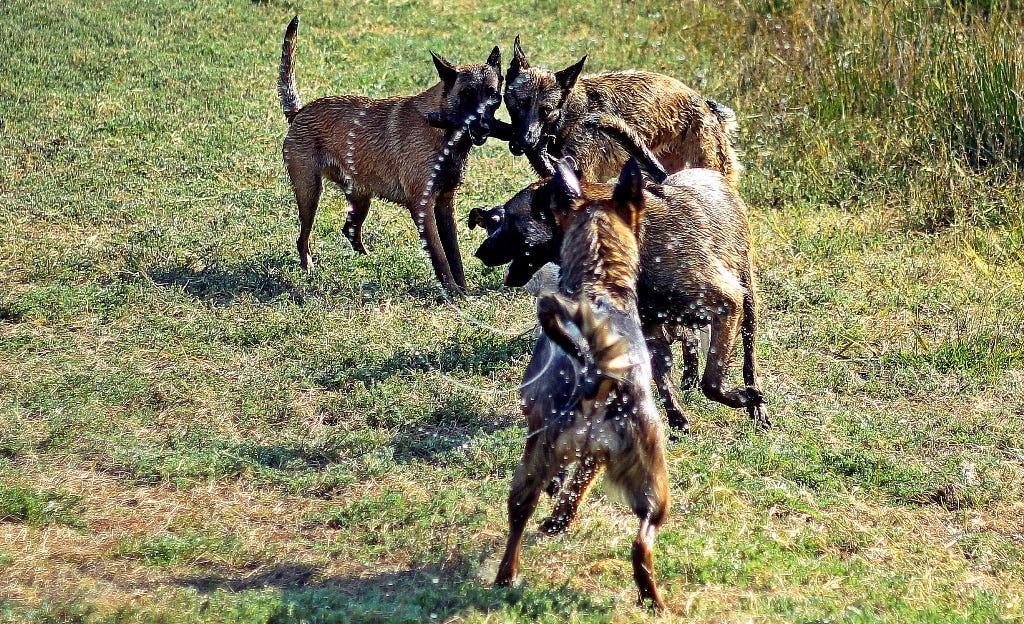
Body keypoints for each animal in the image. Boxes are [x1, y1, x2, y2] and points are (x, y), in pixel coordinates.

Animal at [280, 16, 503, 295]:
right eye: (467, 95)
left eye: (494, 95)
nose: (484, 128)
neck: (441, 129)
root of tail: (298, 112)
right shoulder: (422, 207)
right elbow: (440, 257)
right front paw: (451, 292)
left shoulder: (445, 205)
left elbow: (455, 255)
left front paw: (462, 289)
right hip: (309, 193)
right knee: (304, 238)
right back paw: (308, 267)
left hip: (359, 198)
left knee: (349, 230)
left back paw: (366, 261)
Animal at [466, 162, 770, 430]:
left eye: (510, 220)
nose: (479, 252)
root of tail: (714, 175)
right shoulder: (651, 331)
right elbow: (664, 381)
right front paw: (677, 423)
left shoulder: (727, 303)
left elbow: (713, 380)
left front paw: (741, 397)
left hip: (747, 308)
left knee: (749, 363)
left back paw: (757, 405)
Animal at [495, 157, 671, 610]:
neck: (601, 281)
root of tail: (599, 373)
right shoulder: (596, 456)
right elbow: (577, 487)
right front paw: (560, 517)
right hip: (652, 482)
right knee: (642, 543)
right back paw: (652, 600)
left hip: (534, 461)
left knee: (519, 514)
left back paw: (506, 576)